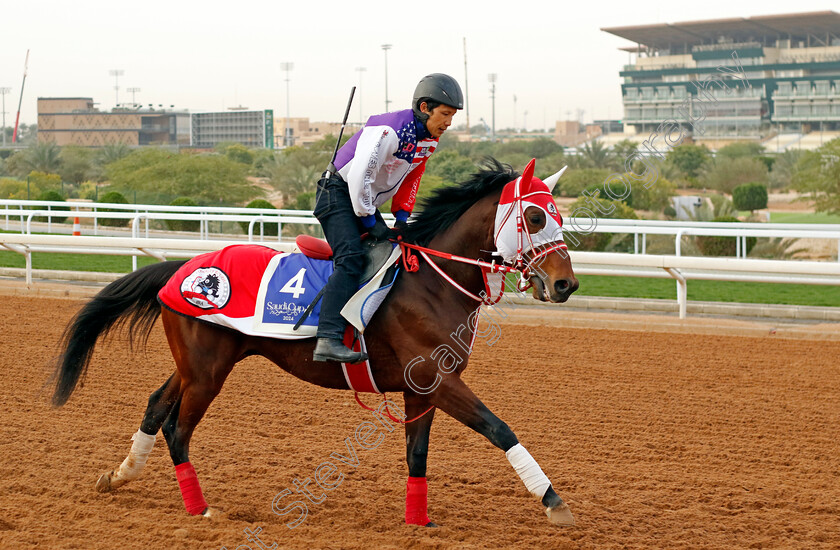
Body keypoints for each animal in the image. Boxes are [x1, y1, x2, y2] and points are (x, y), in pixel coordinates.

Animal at [50, 158, 576, 532]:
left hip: (197, 364)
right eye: (534, 216)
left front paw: (418, 521)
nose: (566, 284)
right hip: (206, 372)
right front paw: (554, 502)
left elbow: (417, 454)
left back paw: (121, 474)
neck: (430, 281)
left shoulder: (421, 390)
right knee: (177, 429)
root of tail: (182, 268)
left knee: (157, 403)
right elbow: (500, 428)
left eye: (559, 215)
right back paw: (201, 510)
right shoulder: (438, 379)